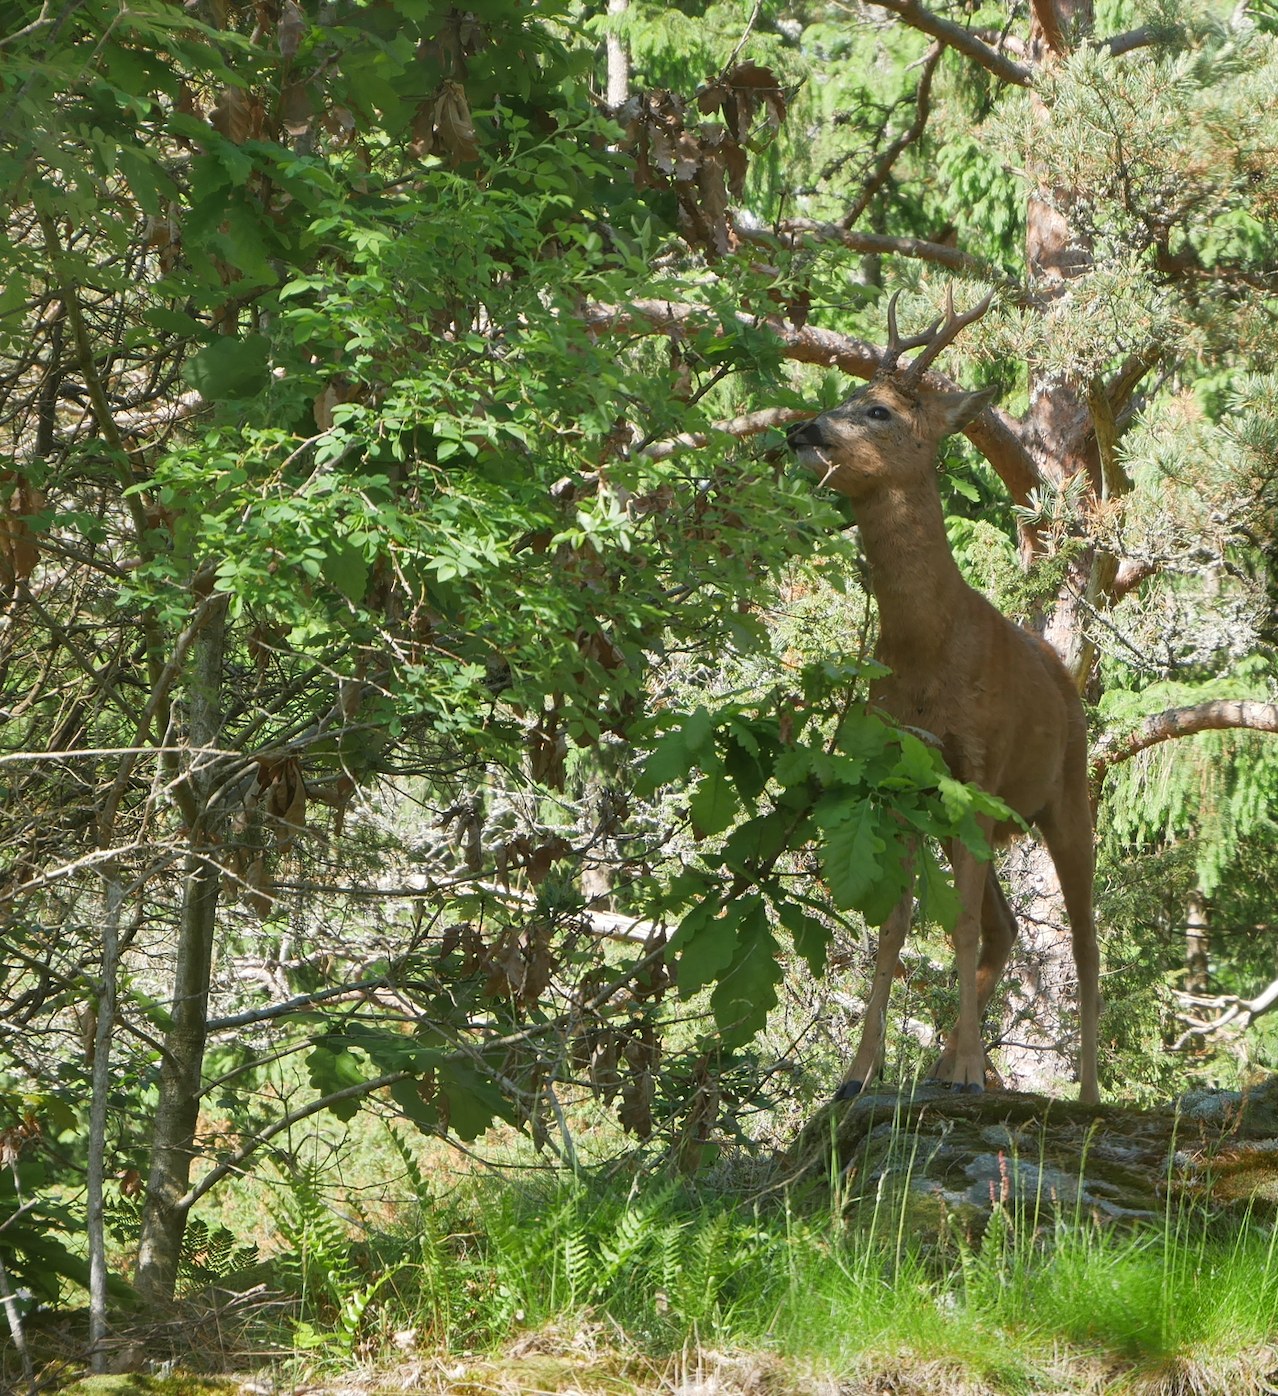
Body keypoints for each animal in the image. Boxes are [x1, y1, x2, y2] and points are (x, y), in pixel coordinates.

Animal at [787, 290, 1100, 1105]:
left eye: (879, 410)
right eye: (844, 397)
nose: (802, 429)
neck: (927, 648)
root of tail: (1063, 675)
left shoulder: (978, 765)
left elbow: (953, 924)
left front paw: (959, 1072)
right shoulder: (902, 777)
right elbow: (895, 930)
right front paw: (858, 1075)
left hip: (1066, 793)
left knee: (1086, 947)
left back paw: (1082, 1095)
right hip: (988, 820)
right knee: (1007, 927)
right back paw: (954, 1059)